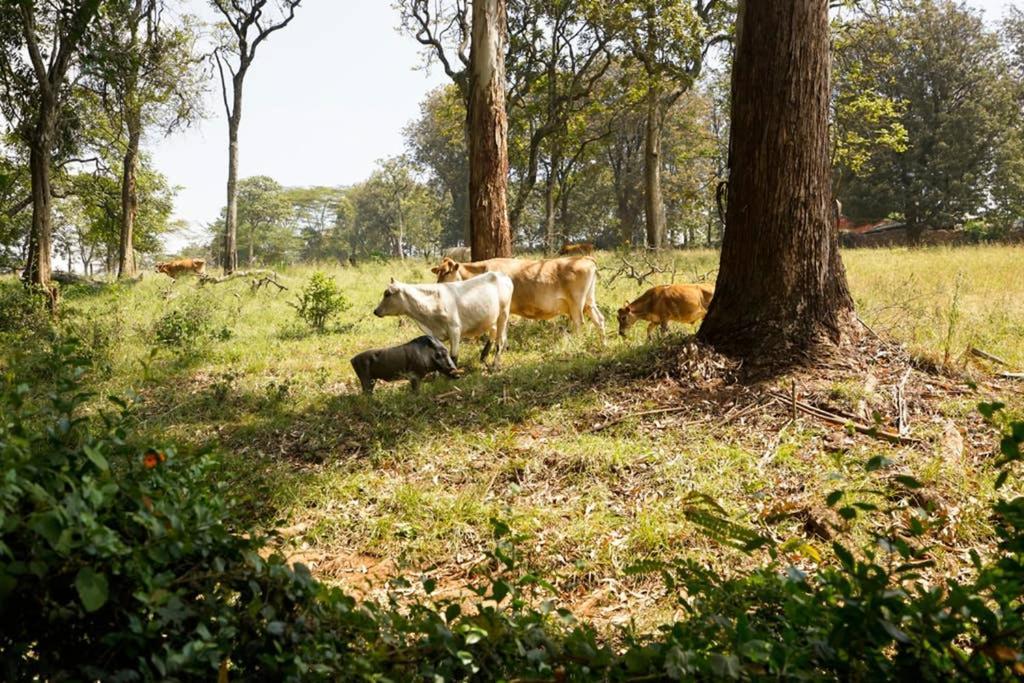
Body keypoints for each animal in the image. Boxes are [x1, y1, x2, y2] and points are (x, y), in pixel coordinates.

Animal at [374, 270, 516, 368]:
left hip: (504, 313)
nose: (375, 311)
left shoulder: (455, 329)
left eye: (387, 294)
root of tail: (501, 274)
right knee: (493, 332)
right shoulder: (434, 334)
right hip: (491, 317)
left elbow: (453, 355)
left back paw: (495, 365)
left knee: (500, 341)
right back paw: (483, 357)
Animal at [430, 255, 602, 333]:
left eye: (447, 272)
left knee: (579, 323)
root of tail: (583, 257)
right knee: (599, 320)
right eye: (438, 271)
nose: (437, 286)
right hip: (589, 301)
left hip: (576, 303)